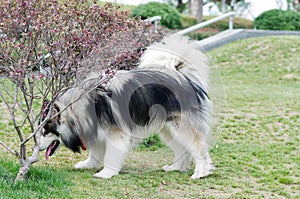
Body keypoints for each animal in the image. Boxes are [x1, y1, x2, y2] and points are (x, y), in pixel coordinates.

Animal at [39, 35, 213, 180]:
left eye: (46, 132)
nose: (38, 149)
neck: (80, 106)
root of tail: (182, 77)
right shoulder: (96, 129)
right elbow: (95, 152)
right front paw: (89, 165)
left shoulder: (116, 133)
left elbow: (111, 155)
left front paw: (106, 173)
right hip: (168, 129)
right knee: (182, 150)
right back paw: (176, 167)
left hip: (181, 127)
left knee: (199, 148)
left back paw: (201, 173)